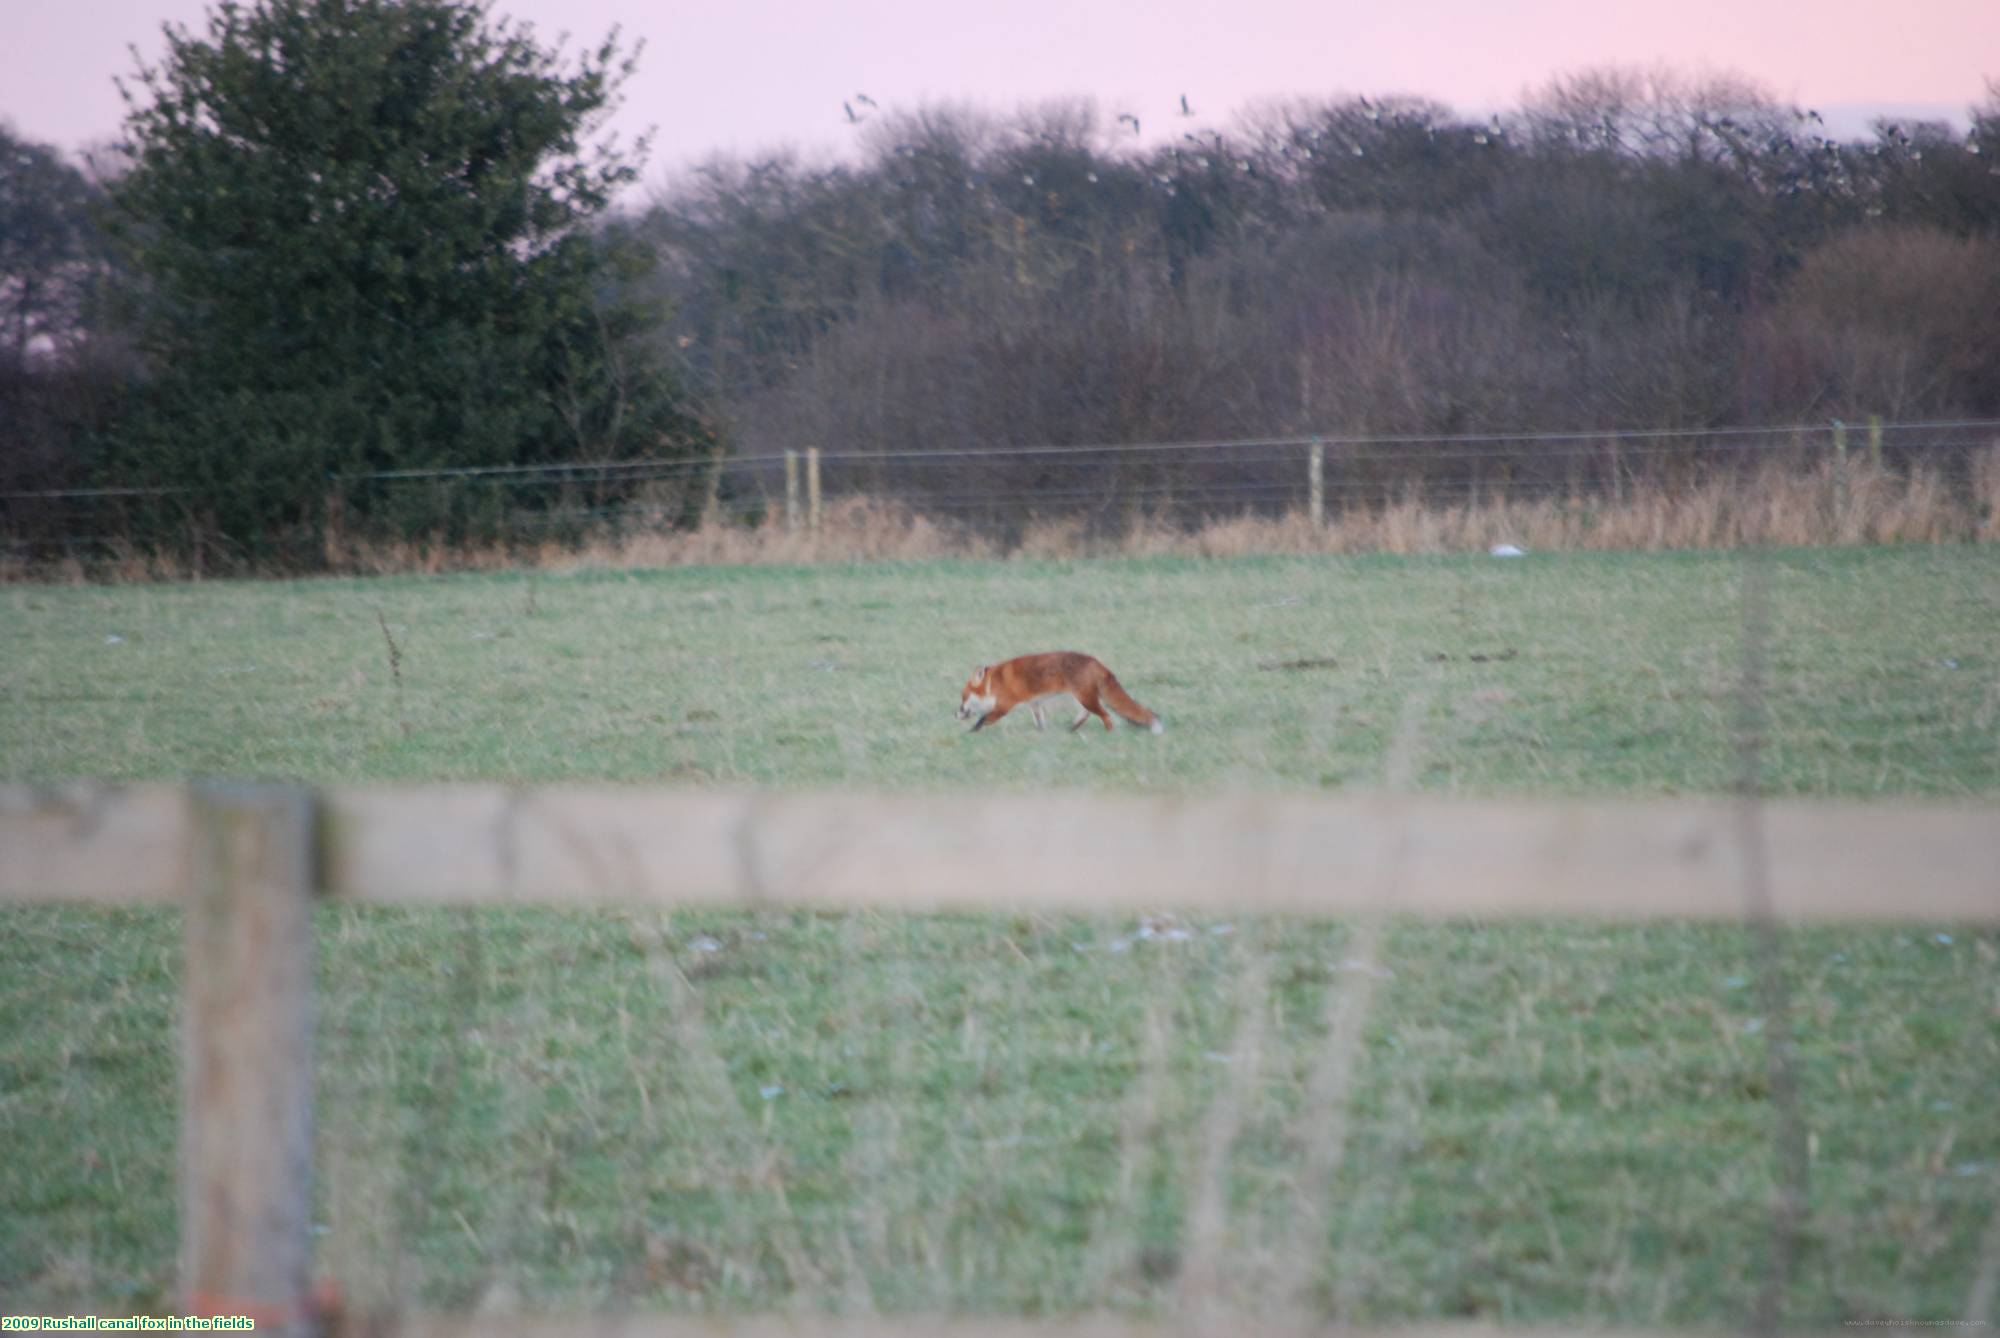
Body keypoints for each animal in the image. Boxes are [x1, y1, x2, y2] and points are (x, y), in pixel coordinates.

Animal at [956, 648, 1168, 732]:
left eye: (963, 698)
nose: (954, 714)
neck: (993, 684)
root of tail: (1095, 662)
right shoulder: (1035, 703)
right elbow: (1040, 722)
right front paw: (1041, 734)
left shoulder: (1004, 706)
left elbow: (983, 719)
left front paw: (969, 733)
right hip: (1082, 699)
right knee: (1086, 715)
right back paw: (1071, 730)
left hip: (1085, 698)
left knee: (1106, 715)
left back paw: (1109, 733)